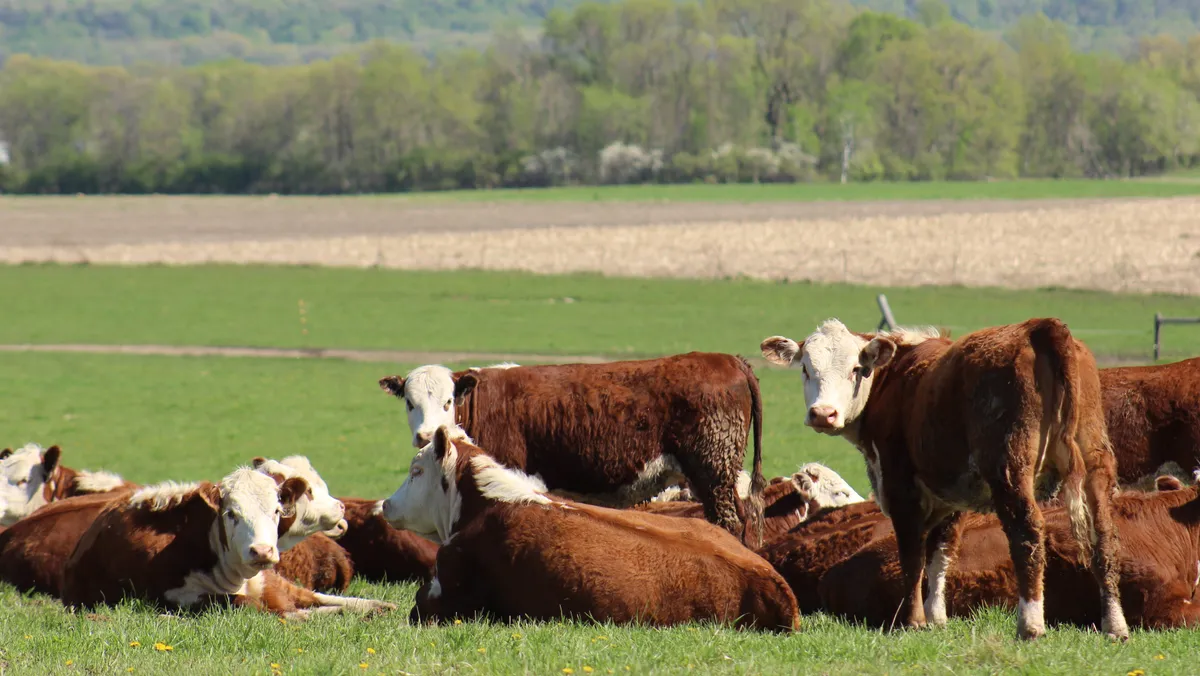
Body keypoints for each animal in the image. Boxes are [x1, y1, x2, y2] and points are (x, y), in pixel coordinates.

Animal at [60, 468, 395, 618]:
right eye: (231, 513)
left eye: (276, 510)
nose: (262, 551)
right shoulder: (182, 597)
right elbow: (268, 609)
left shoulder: (269, 583)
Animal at [379, 354, 766, 542]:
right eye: (410, 402)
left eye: (448, 401)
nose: (427, 434)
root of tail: (729, 360)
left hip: (712, 468)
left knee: (730, 522)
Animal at [761, 318, 1128, 640]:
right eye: (806, 369)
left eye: (855, 368)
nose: (823, 414)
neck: (895, 381)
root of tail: (1039, 329)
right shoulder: (951, 496)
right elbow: (940, 554)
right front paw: (936, 617)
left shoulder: (902, 488)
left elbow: (913, 558)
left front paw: (912, 621)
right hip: (1094, 462)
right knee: (1103, 536)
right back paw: (1114, 624)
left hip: (1010, 467)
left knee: (1027, 533)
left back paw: (1030, 624)